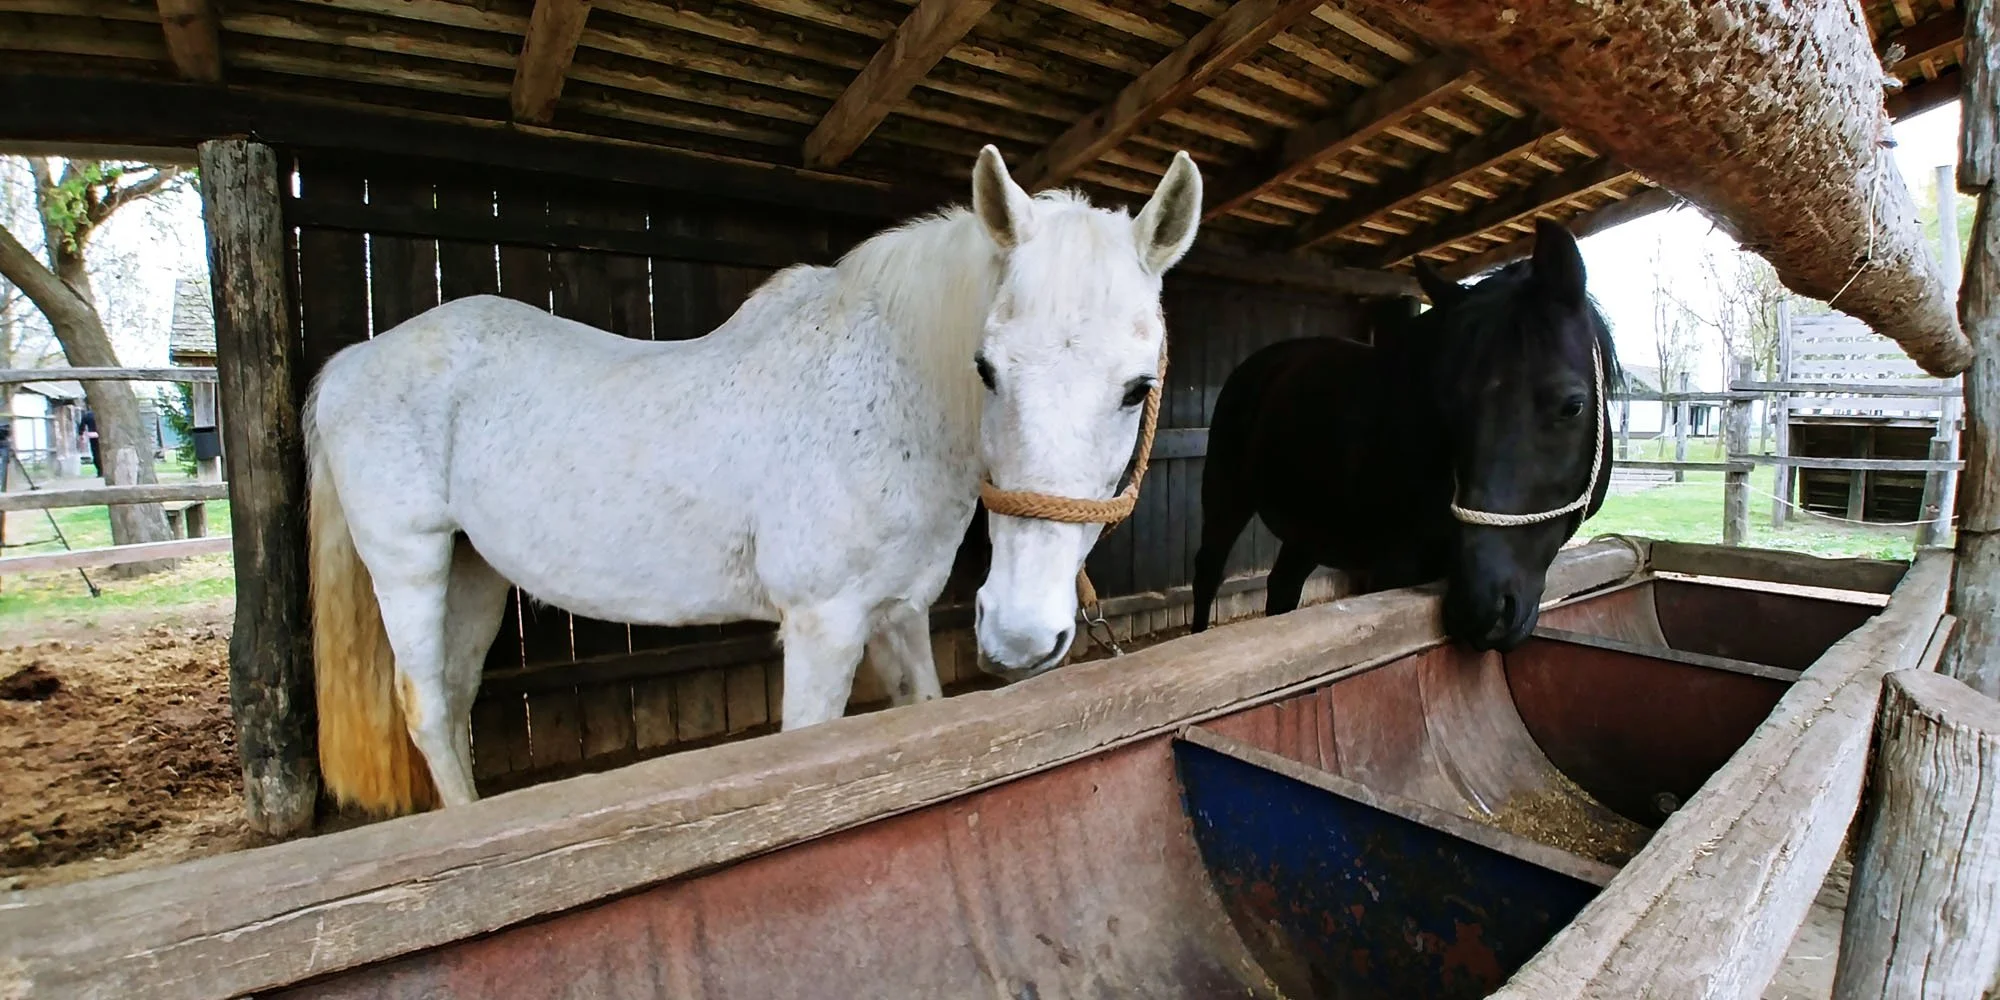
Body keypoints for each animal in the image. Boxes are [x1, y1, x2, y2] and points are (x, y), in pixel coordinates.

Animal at [306, 145, 1203, 814]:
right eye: (986, 369)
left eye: (1137, 389)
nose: (1019, 635)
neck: (888, 398)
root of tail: (354, 361)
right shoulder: (822, 626)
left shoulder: (896, 613)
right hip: (411, 563)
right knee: (426, 704)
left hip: (476, 570)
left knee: (454, 697)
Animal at [1190, 218, 1613, 651]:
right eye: (1447, 406)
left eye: (1572, 406)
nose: (1482, 610)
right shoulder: (1391, 572)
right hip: (1226, 497)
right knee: (1208, 573)